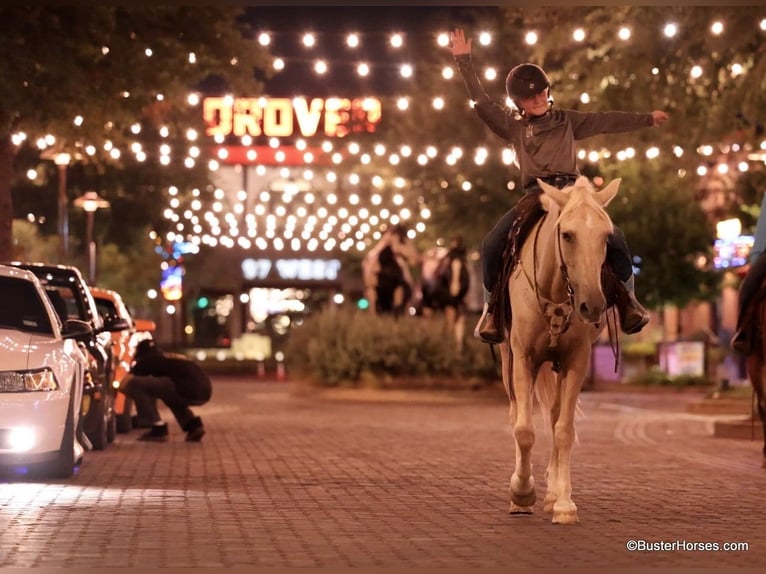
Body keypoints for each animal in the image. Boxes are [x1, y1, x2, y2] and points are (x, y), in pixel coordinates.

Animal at [497, 175, 621, 524]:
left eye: (606, 236)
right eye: (567, 234)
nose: (592, 305)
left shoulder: (577, 361)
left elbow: (563, 430)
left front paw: (564, 502)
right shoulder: (522, 358)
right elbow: (524, 429)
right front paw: (522, 492)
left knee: (554, 418)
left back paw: (552, 494)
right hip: (509, 361)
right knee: (517, 414)